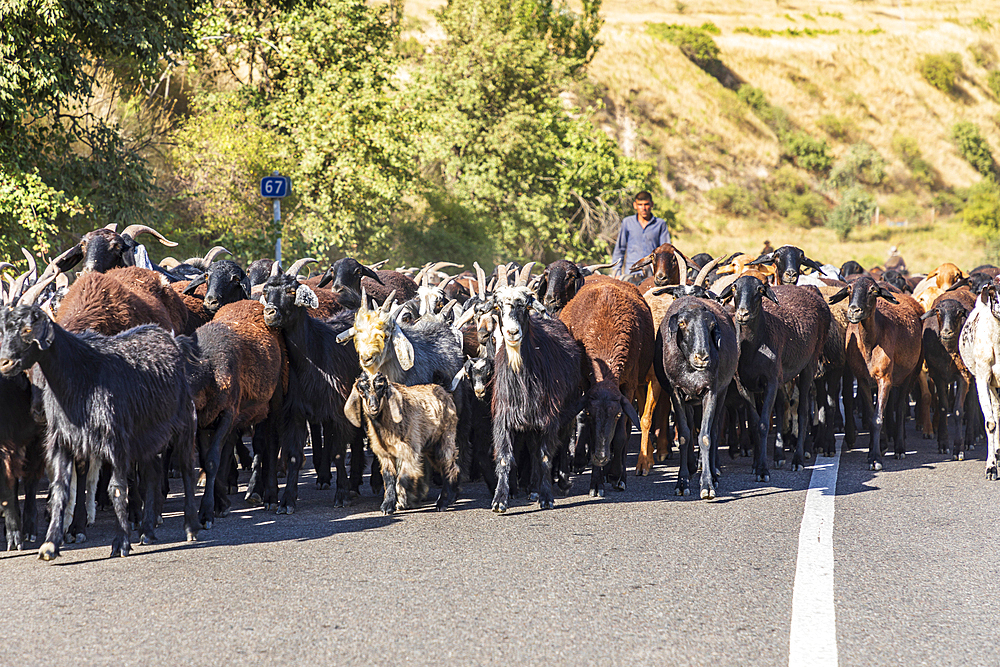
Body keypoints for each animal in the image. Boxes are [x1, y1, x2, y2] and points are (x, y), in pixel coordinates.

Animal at [0, 270, 199, 560]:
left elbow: (116, 487)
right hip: (149, 434)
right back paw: (147, 530)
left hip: (184, 423)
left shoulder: (115, 439)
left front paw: (118, 540)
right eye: (4, 331)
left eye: (28, 330)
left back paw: (190, 527)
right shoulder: (64, 440)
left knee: (185, 468)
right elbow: (60, 488)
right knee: (152, 471)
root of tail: (174, 342)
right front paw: (51, 542)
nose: (5, 362)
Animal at [342, 374, 456, 516]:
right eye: (362, 391)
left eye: (381, 388)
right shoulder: (385, 454)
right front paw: (387, 505)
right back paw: (452, 496)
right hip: (430, 446)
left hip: (445, 438)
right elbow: (389, 478)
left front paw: (404, 501)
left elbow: (403, 477)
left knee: (448, 466)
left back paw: (443, 502)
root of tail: (443, 391)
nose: (373, 408)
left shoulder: (409, 451)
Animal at [560, 276, 652, 496]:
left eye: (617, 414)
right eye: (592, 413)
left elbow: (620, 435)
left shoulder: (629, 385)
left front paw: (617, 475)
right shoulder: (586, 381)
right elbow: (590, 430)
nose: (601, 457)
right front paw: (596, 483)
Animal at [716, 276, 832, 480]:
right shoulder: (744, 385)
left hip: (809, 363)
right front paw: (756, 464)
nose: (742, 314)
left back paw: (798, 459)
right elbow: (755, 424)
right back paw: (779, 456)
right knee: (782, 405)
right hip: (782, 376)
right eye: (734, 288)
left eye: (760, 290)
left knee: (803, 411)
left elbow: (763, 424)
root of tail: (810, 291)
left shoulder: (769, 381)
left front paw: (762, 469)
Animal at [828, 276, 920, 470]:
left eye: (873, 290)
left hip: (909, 373)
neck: (870, 342)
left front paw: (875, 459)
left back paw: (899, 448)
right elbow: (872, 416)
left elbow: (878, 418)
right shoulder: (862, 379)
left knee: (900, 408)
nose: (854, 311)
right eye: (849, 288)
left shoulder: (885, 378)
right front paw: (873, 451)